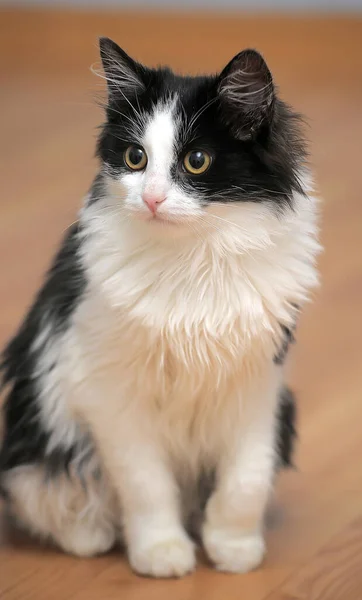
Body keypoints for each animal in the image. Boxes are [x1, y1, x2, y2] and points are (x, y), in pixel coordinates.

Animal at [0, 36, 320, 576]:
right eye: (135, 157)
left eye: (196, 161)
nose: (150, 199)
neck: (193, 257)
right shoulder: (111, 392)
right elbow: (146, 485)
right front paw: (161, 552)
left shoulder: (257, 384)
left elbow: (246, 479)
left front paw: (234, 548)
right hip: (41, 430)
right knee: (43, 495)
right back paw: (91, 535)